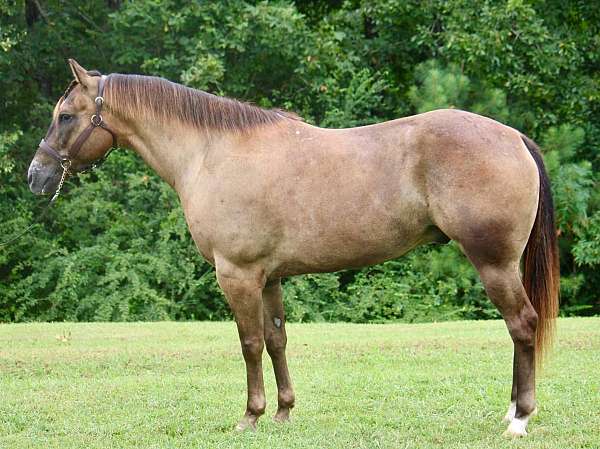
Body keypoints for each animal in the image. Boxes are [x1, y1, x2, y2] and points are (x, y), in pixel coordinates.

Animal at [25, 59, 560, 434]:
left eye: (65, 116)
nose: (36, 176)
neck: (212, 153)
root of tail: (513, 137)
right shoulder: (269, 277)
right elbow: (277, 339)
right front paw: (283, 413)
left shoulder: (237, 274)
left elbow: (249, 343)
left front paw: (250, 416)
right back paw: (510, 410)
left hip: (494, 263)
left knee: (522, 325)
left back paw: (519, 419)